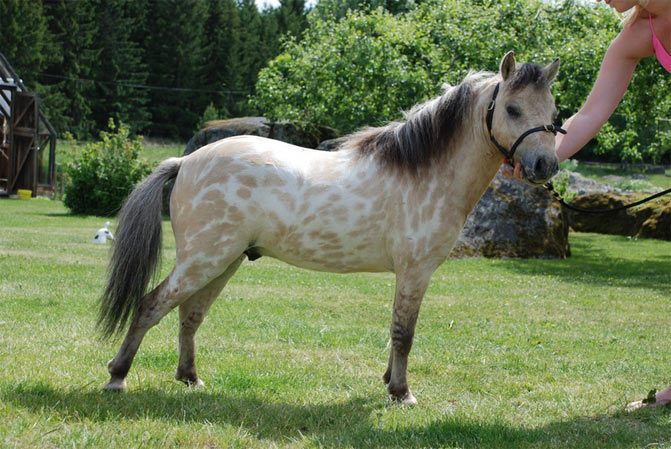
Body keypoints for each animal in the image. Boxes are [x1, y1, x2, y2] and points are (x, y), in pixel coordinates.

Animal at [99, 52, 561, 405]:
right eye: (512, 108)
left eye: (555, 113)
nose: (546, 166)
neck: (425, 171)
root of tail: (186, 161)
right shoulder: (415, 271)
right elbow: (404, 334)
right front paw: (402, 392)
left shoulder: (409, 275)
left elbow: (395, 332)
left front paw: (389, 383)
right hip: (203, 259)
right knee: (151, 305)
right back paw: (117, 376)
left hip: (223, 261)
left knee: (189, 315)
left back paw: (190, 378)